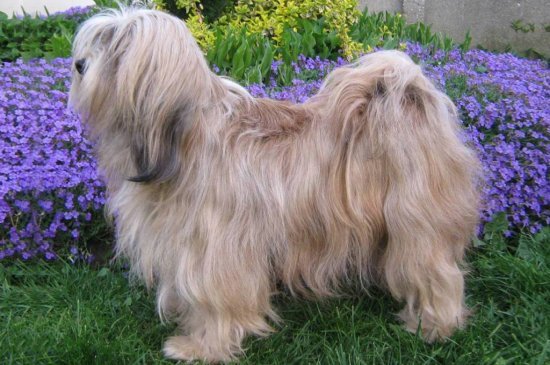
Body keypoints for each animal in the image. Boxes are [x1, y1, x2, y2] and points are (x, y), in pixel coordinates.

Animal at [70, 6, 484, 362]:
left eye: (118, 48)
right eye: (96, 40)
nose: (77, 64)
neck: (184, 140)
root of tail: (409, 94)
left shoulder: (216, 250)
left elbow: (215, 298)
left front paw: (200, 347)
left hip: (418, 224)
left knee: (437, 273)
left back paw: (433, 325)